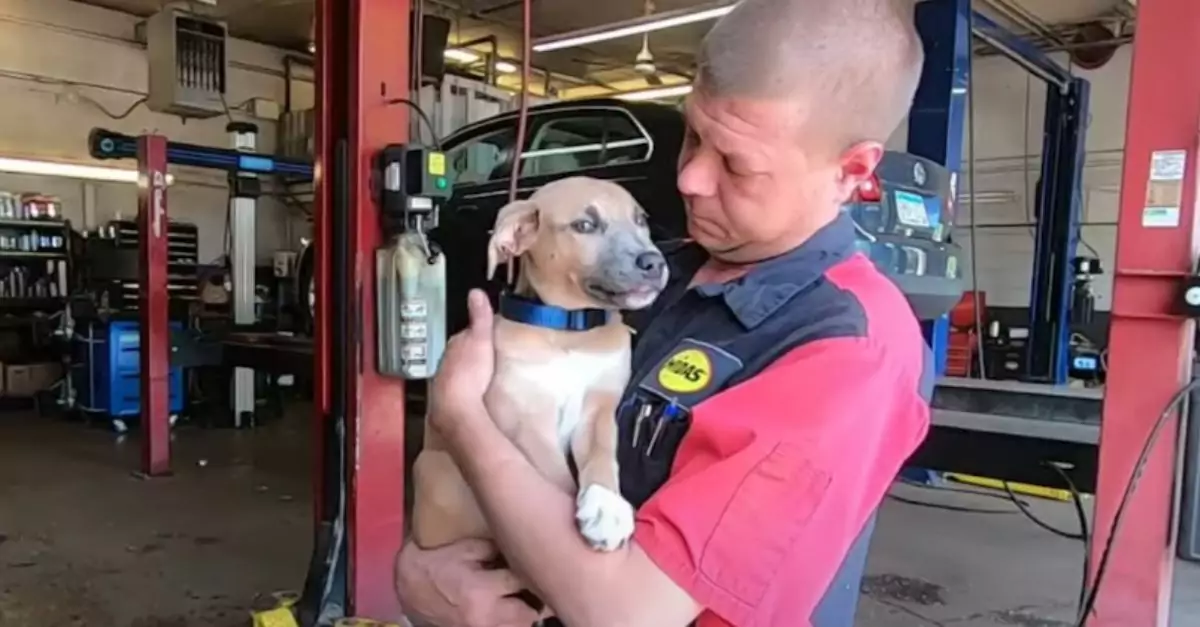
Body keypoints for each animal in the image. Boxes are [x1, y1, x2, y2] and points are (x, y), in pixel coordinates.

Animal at [415, 174, 672, 552]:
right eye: (585, 225)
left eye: (640, 220)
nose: (654, 262)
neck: (569, 331)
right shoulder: (526, 422)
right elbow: (558, 482)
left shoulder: (598, 410)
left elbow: (602, 456)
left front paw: (606, 506)